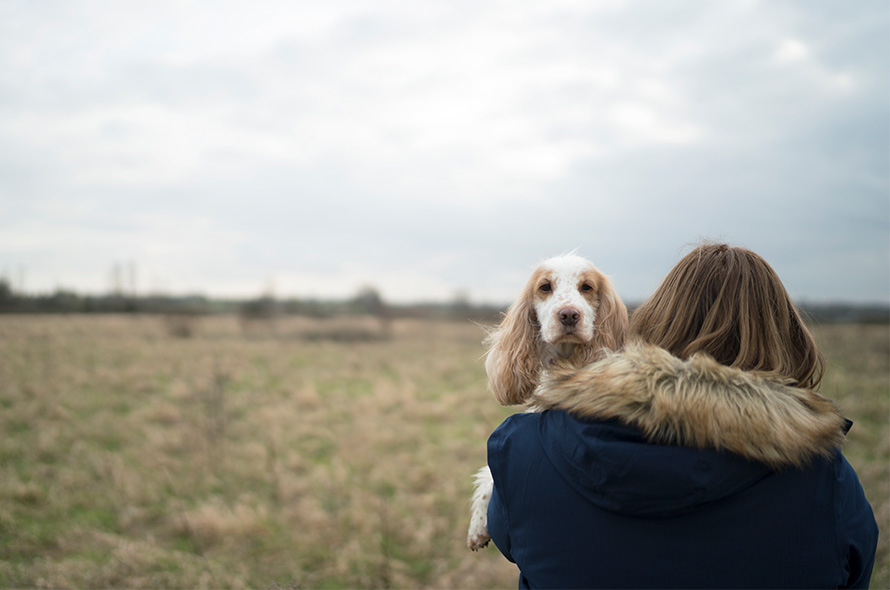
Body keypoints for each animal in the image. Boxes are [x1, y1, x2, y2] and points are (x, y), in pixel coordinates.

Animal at [464, 256, 624, 556]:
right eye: (545, 287)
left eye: (587, 287)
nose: (569, 315)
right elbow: (488, 477)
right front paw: (477, 526)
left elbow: (491, 474)